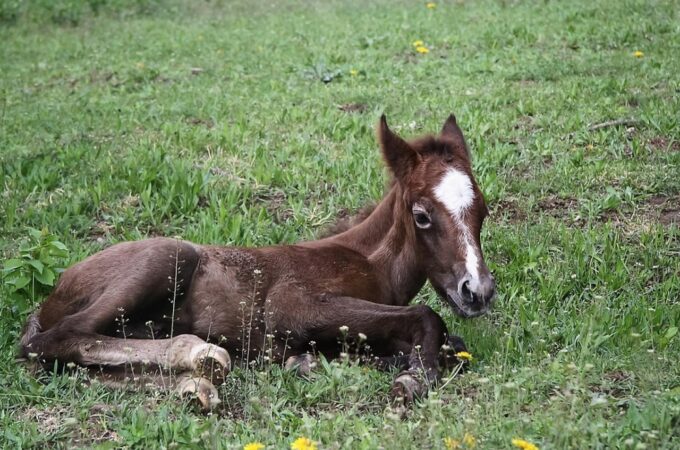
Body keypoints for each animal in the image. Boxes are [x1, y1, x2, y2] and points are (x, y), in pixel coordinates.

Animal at [20, 114, 496, 409]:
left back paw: (196, 384)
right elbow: (427, 317)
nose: (477, 291)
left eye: (483, 211)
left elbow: (451, 344)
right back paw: (198, 353)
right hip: (168, 255)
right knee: (55, 340)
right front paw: (411, 378)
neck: (368, 261)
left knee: (75, 364)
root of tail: (53, 294)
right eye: (422, 215)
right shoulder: (291, 305)